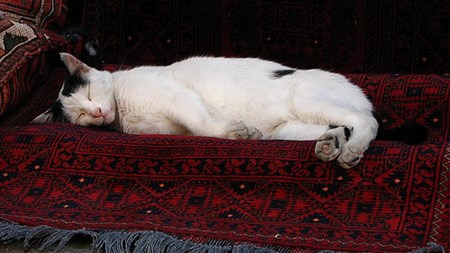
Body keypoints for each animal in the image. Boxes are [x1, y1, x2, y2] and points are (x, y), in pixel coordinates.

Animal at [34, 53, 380, 168]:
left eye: (91, 94)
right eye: (79, 115)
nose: (95, 113)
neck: (122, 111)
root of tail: (359, 90)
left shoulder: (179, 97)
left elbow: (202, 124)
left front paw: (236, 132)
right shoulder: (166, 128)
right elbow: (193, 128)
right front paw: (244, 132)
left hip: (308, 101)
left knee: (366, 122)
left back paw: (352, 151)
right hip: (289, 130)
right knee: (337, 127)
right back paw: (331, 144)